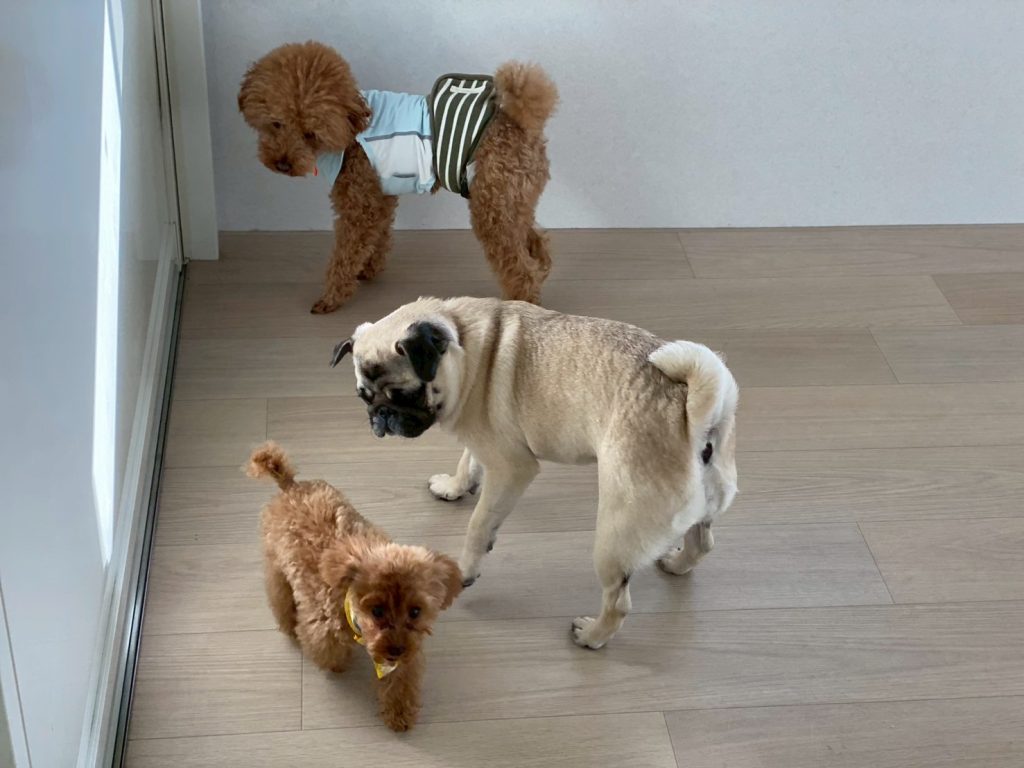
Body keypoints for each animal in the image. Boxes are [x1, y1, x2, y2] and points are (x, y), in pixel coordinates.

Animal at [238, 41, 558, 314]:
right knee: (535, 241)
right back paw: (541, 271)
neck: (352, 125)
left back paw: (523, 301)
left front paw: (332, 296)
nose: (282, 163)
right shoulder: (379, 194)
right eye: (276, 123)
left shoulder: (359, 202)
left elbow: (346, 250)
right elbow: (377, 235)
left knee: (519, 266)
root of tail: (521, 125)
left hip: (492, 206)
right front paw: (368, 269)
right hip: (512, 200)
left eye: (309, 134)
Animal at [248, 442, 462, 730]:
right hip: (275, 563)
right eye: (377, 611)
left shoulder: (405, 655)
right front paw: (337, 665)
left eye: (415, 612)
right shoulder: (322, 627)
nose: (396, 649)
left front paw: (399, 713)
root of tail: (290, 485)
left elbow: (400, 681)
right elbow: (329, 650)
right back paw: (288, 624)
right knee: (278, 595)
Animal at [330, 297, 739, 650]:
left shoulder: (511, 468)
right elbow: (467, 462)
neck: (467, 347)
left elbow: (479, 526)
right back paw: (677, 564)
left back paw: (592, 635)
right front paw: (455, 486)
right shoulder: (482, 442)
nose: (381, 416)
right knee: (703, 541)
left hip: (615, 534)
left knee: (619, 601)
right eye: (364, 397)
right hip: (701, 508)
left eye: (406, 394)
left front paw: (465, 570)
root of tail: (694, 419)